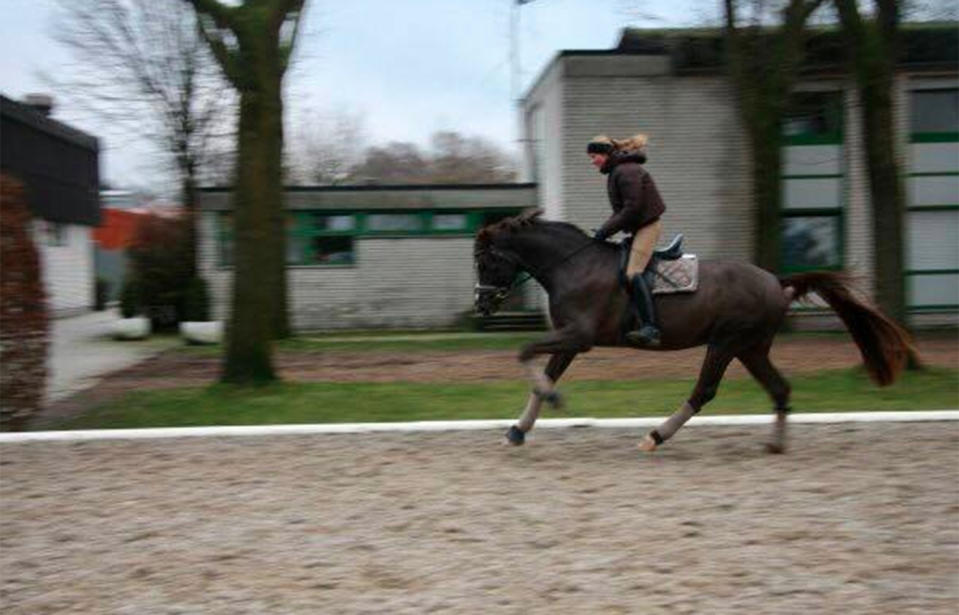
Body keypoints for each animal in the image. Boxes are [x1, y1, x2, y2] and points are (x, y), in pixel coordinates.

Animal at [476, 209, 920, 454]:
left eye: (486, 261)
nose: (481, 306)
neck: (572, 264)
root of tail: (776, 281)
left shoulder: (579, 336)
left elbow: (525, 353)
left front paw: (553, 402)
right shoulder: (569, 339)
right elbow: (544, 373)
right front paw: (518, 430)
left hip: (726, 342)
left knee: (704, 391)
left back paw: (656, 436)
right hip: (751, 348)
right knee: (780, 389)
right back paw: (775, 445)